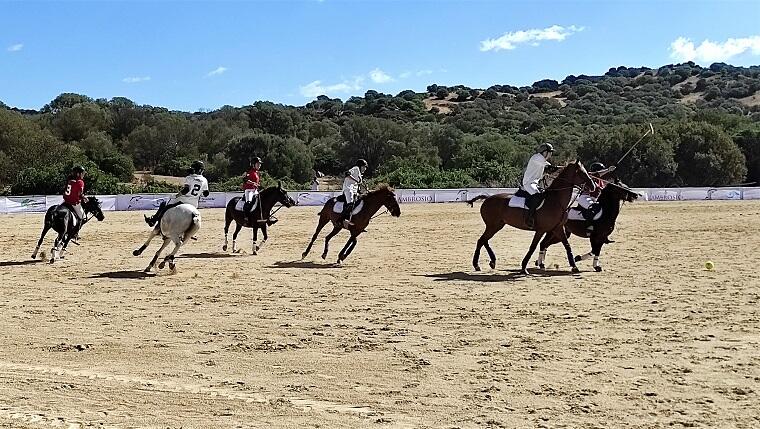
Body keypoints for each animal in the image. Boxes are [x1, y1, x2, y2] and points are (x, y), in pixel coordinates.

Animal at [466, 160, 596, 274]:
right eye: (581, 172)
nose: (593, 186)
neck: (556, 201)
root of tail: (487, 198)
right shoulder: (541, 230)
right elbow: (533, 247)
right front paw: (524, 267)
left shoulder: (557, 228)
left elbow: (567, 245)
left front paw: (574, 266)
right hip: (493, 225)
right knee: (481, 240)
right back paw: (477, 265)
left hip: (497, 225)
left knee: (484, 240)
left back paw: (492, 262)